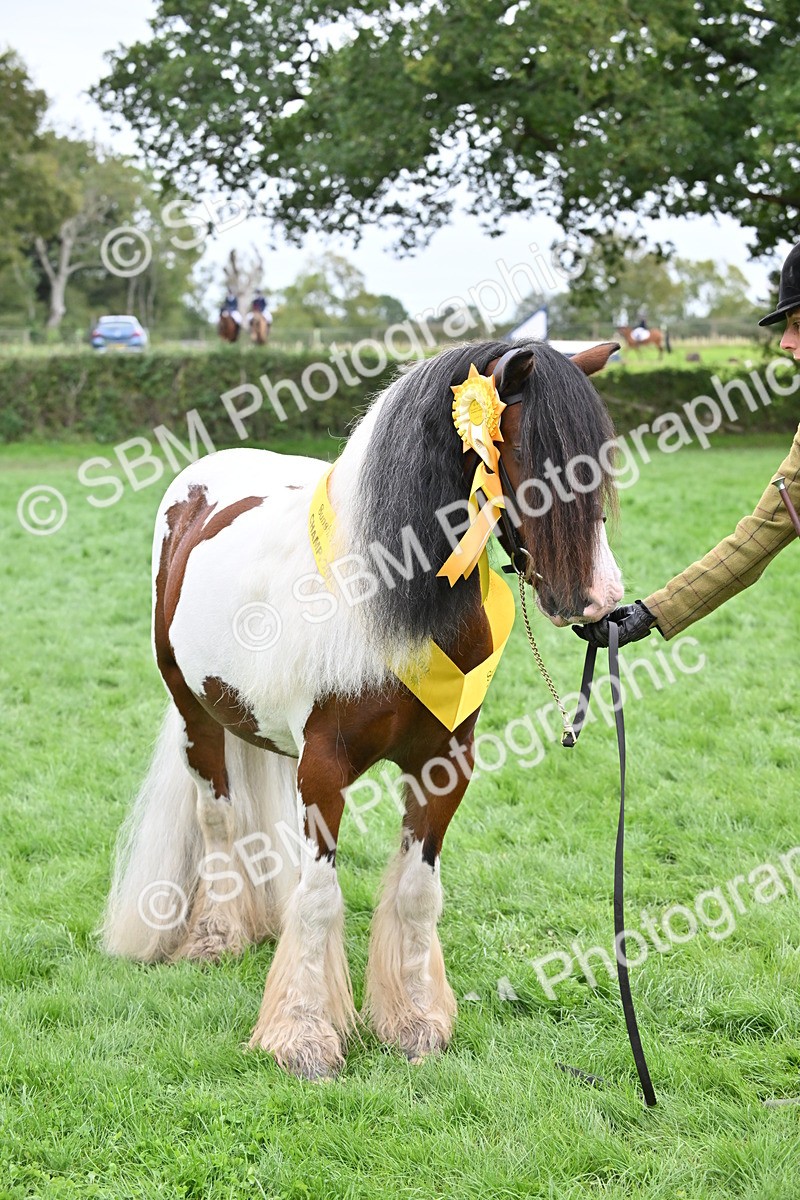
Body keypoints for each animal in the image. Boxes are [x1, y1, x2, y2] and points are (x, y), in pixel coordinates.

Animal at [103, 338, 624, 1080]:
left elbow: (416, 891)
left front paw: (415, 1022)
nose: (599, 598)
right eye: (531, 452)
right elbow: (322, 898)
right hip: (195, 712)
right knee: (220, 821)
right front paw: (302, 1036)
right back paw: (216, 937)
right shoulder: (323, 769)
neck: (386, 602)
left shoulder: (444, 765)